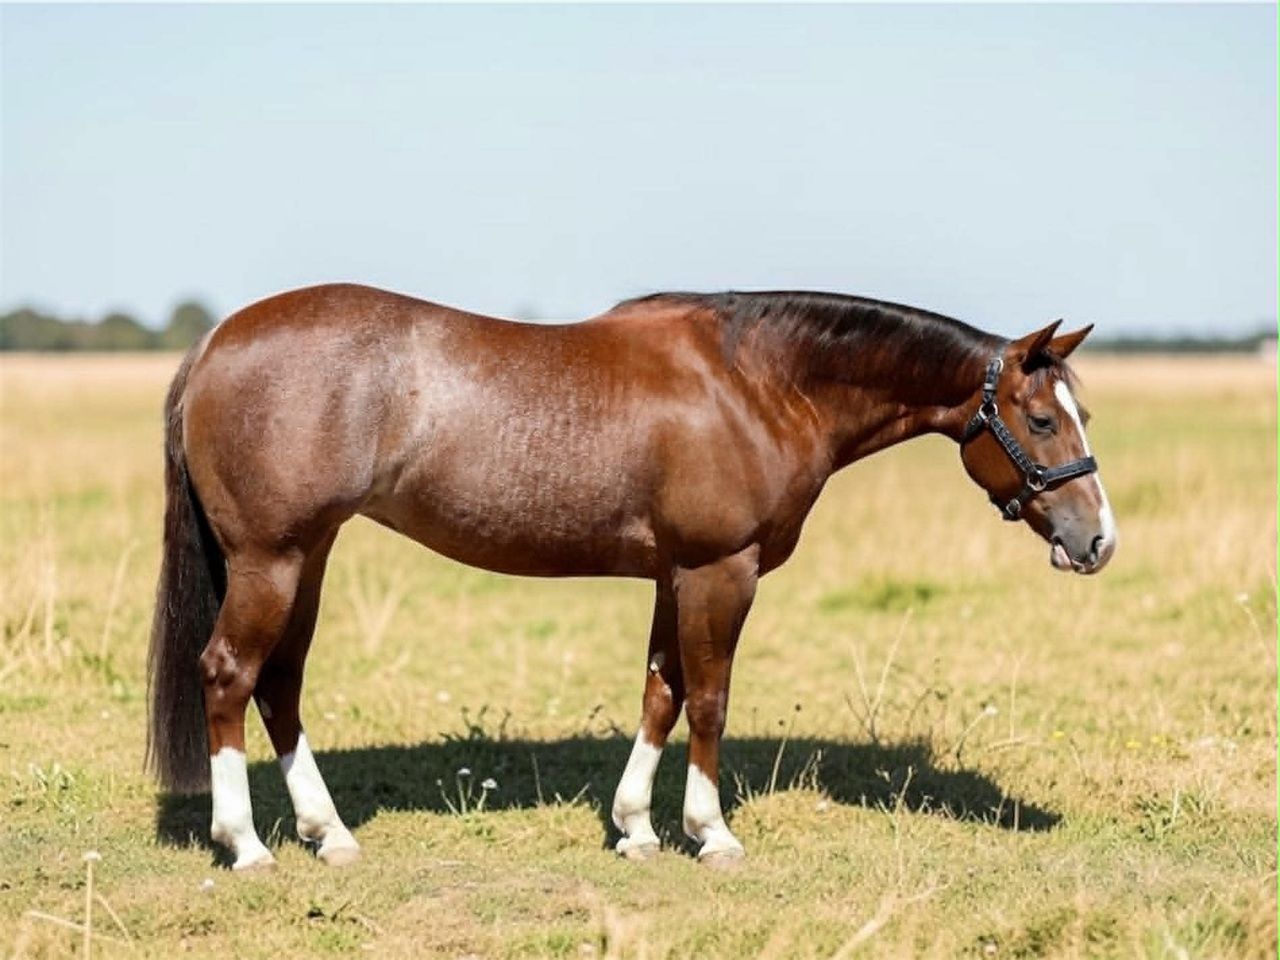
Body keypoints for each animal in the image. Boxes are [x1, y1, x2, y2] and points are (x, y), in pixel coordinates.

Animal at [146, 285, 1116, 870]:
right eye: (1039, 419)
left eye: (1082, 412)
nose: (1098, 539)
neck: (756, 384)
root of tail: (217, 340)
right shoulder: (721, 571)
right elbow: (711, 700)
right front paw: (710, 833)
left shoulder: (673, 575)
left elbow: (662, 692)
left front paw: (637, 828)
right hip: (272, 560)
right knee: (229, 674)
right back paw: (246, 843)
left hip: (306, 558)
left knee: (280, 685)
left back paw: (329, 833)